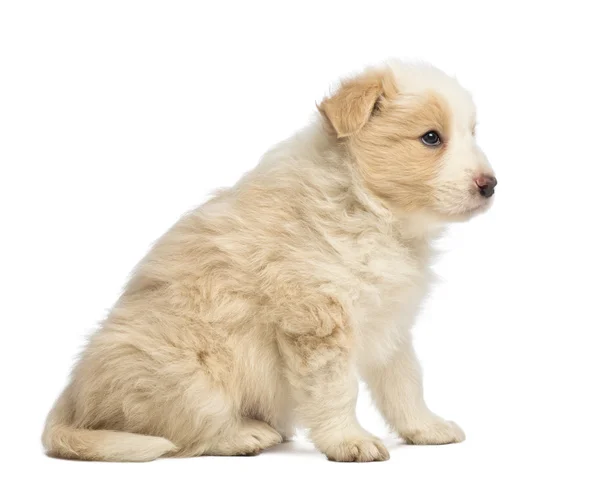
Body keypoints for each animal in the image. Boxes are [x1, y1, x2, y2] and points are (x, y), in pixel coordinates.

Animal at [43, 60, 496, 464]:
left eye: (471, 132)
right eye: (431, 138)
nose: (490, 185)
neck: (367, 205)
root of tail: (68, 400)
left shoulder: (390, 321)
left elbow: (406, 381)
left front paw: (427, 428)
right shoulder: (318, 322)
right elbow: (338, 390)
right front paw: (349, 441)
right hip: (189, 377)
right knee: (184, 434)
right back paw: (245, 435)